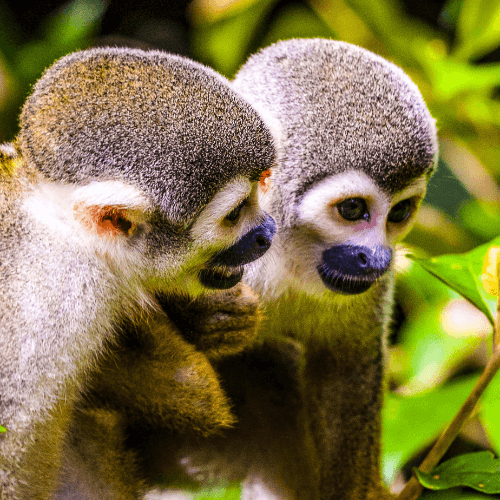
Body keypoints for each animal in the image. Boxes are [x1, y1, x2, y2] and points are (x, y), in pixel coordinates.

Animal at [135, 39, 440, 500]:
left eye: (400, 213)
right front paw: (206, 320)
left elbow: (344, 366)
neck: (287, 251)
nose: (377, 259)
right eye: (353, 209)